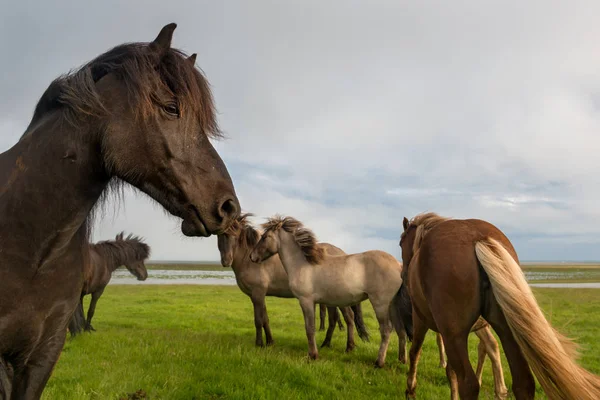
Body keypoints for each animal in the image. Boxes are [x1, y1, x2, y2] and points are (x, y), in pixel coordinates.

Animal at [217, 212, 366, 350]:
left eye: (236, 235)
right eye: (220, 235)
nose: (226, 261)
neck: (247, 261)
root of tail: (343, 253)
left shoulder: (258, 293)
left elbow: (259, 320)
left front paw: (259, 344)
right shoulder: (257, 296)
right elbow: (265, 319)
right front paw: (270, 342)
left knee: (349, 317)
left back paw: (348, 346)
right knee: (334, 319)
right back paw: (326, 343)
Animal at [398, 212, 600, 400]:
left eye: (401, 243)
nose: (403, 274)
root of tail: (477, 238)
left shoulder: (422, 321)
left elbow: (416, 352)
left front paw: (410, 389)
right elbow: (450, 369)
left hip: (455, 335)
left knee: (469, 383)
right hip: (508, 330)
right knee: (523, 382)